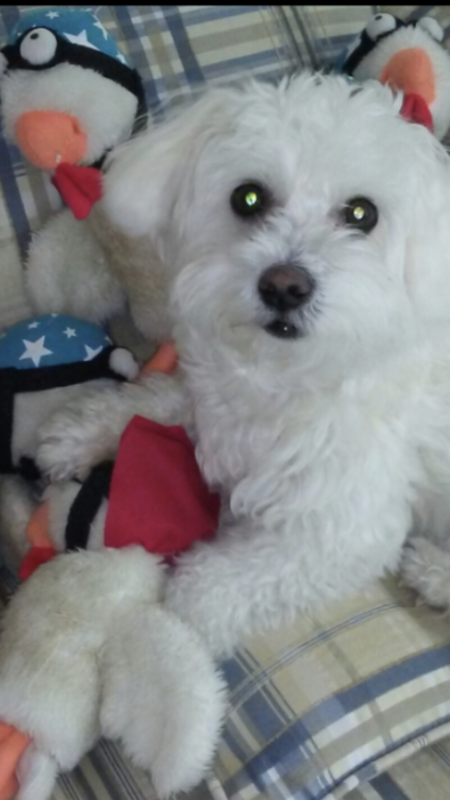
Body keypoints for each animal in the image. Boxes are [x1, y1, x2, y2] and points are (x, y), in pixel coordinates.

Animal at [2, 73, 450, 792]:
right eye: (249, 197)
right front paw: (78, 432)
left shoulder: (341, 528)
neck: (282, 375)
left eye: (362, 214)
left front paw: (176, 604)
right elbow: (155, 399)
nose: (285, 285)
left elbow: (222, 582)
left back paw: (434, 571)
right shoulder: (212, 400)